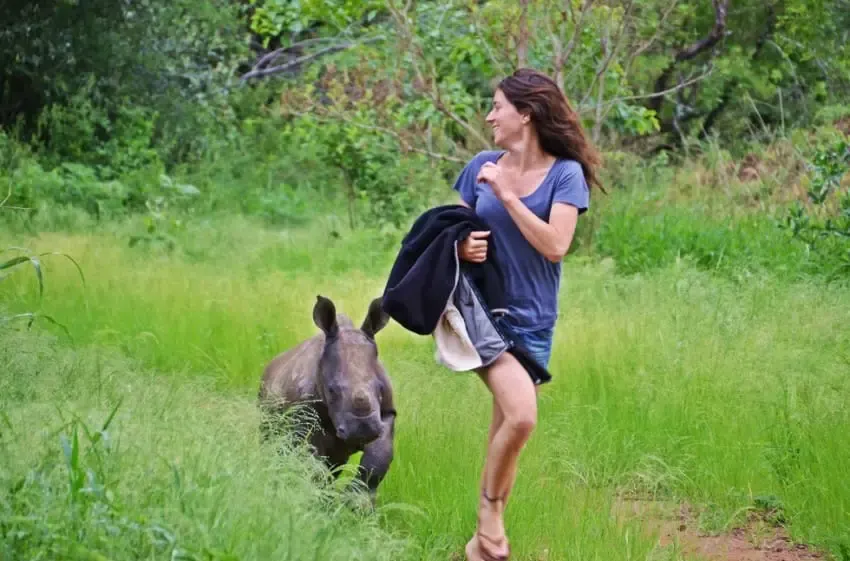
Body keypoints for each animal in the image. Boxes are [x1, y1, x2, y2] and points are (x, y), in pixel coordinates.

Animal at [258, 294, 394, 498]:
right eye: (331, 390)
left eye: (380, 389)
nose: (363, 430)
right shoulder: (303, 414)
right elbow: (312, 464)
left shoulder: (387, 414)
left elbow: (378, 459)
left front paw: (356, 501)